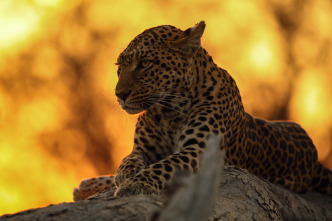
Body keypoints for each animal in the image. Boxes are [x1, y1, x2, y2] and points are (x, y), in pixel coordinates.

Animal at [72, 20, 332, 200]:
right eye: (119, 67)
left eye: (144, 64)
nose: (119, 95)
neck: (167, 112)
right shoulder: (144, 149)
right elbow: (126, 160)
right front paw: (125, 176)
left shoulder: (199, 149)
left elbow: (164, 165)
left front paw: (135, 184)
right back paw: (87, 186)